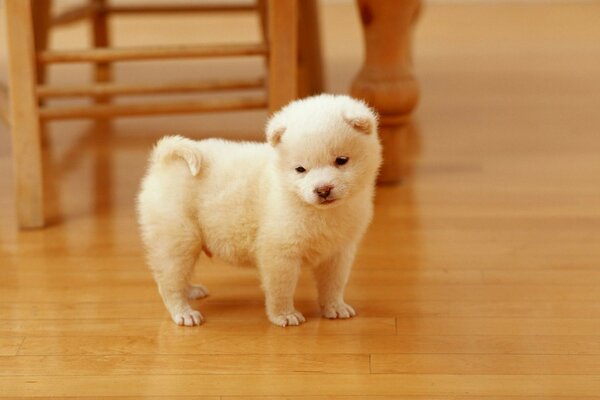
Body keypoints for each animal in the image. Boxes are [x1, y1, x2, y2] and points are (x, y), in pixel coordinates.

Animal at [137, 95, 380, 326]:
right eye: (300, 169)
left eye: (341, 160)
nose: (323, 190)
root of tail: (162, 163)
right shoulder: (279, 253)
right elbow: (281, 289)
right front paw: (284, 315)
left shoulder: (338, 252)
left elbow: (334, 284)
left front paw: (335, 307)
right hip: (178, 239)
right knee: (169, 282)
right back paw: (184, 312)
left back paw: (191, 291)